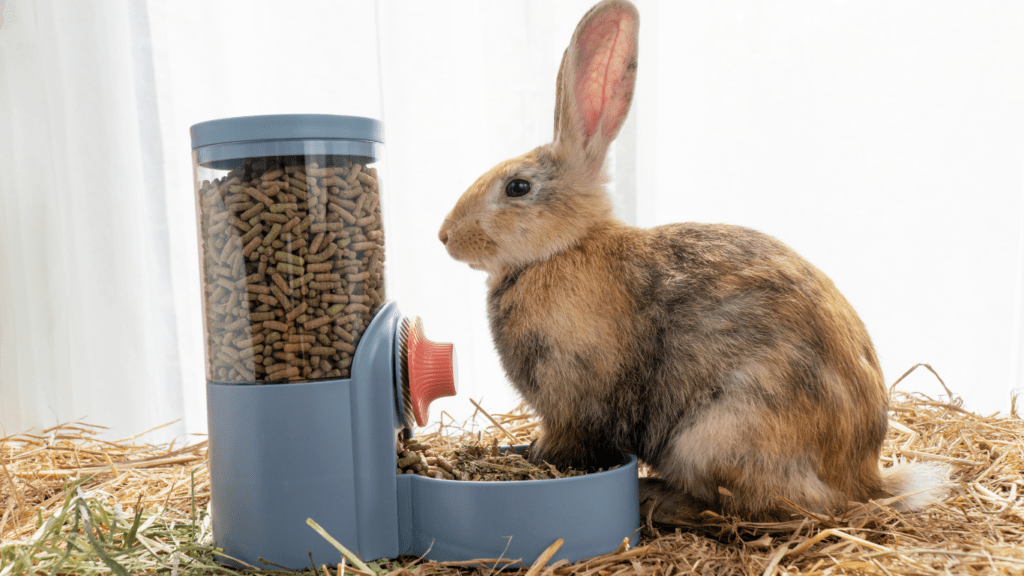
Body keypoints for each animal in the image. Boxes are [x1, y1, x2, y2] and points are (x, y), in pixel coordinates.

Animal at [436, 1, 946, 520]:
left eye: (517, 187)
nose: (445, 237)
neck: (565, 247)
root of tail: (864, 483)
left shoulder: (571, 402)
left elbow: (567, 438)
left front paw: (538, 457)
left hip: (715, 435)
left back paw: (657, 496)